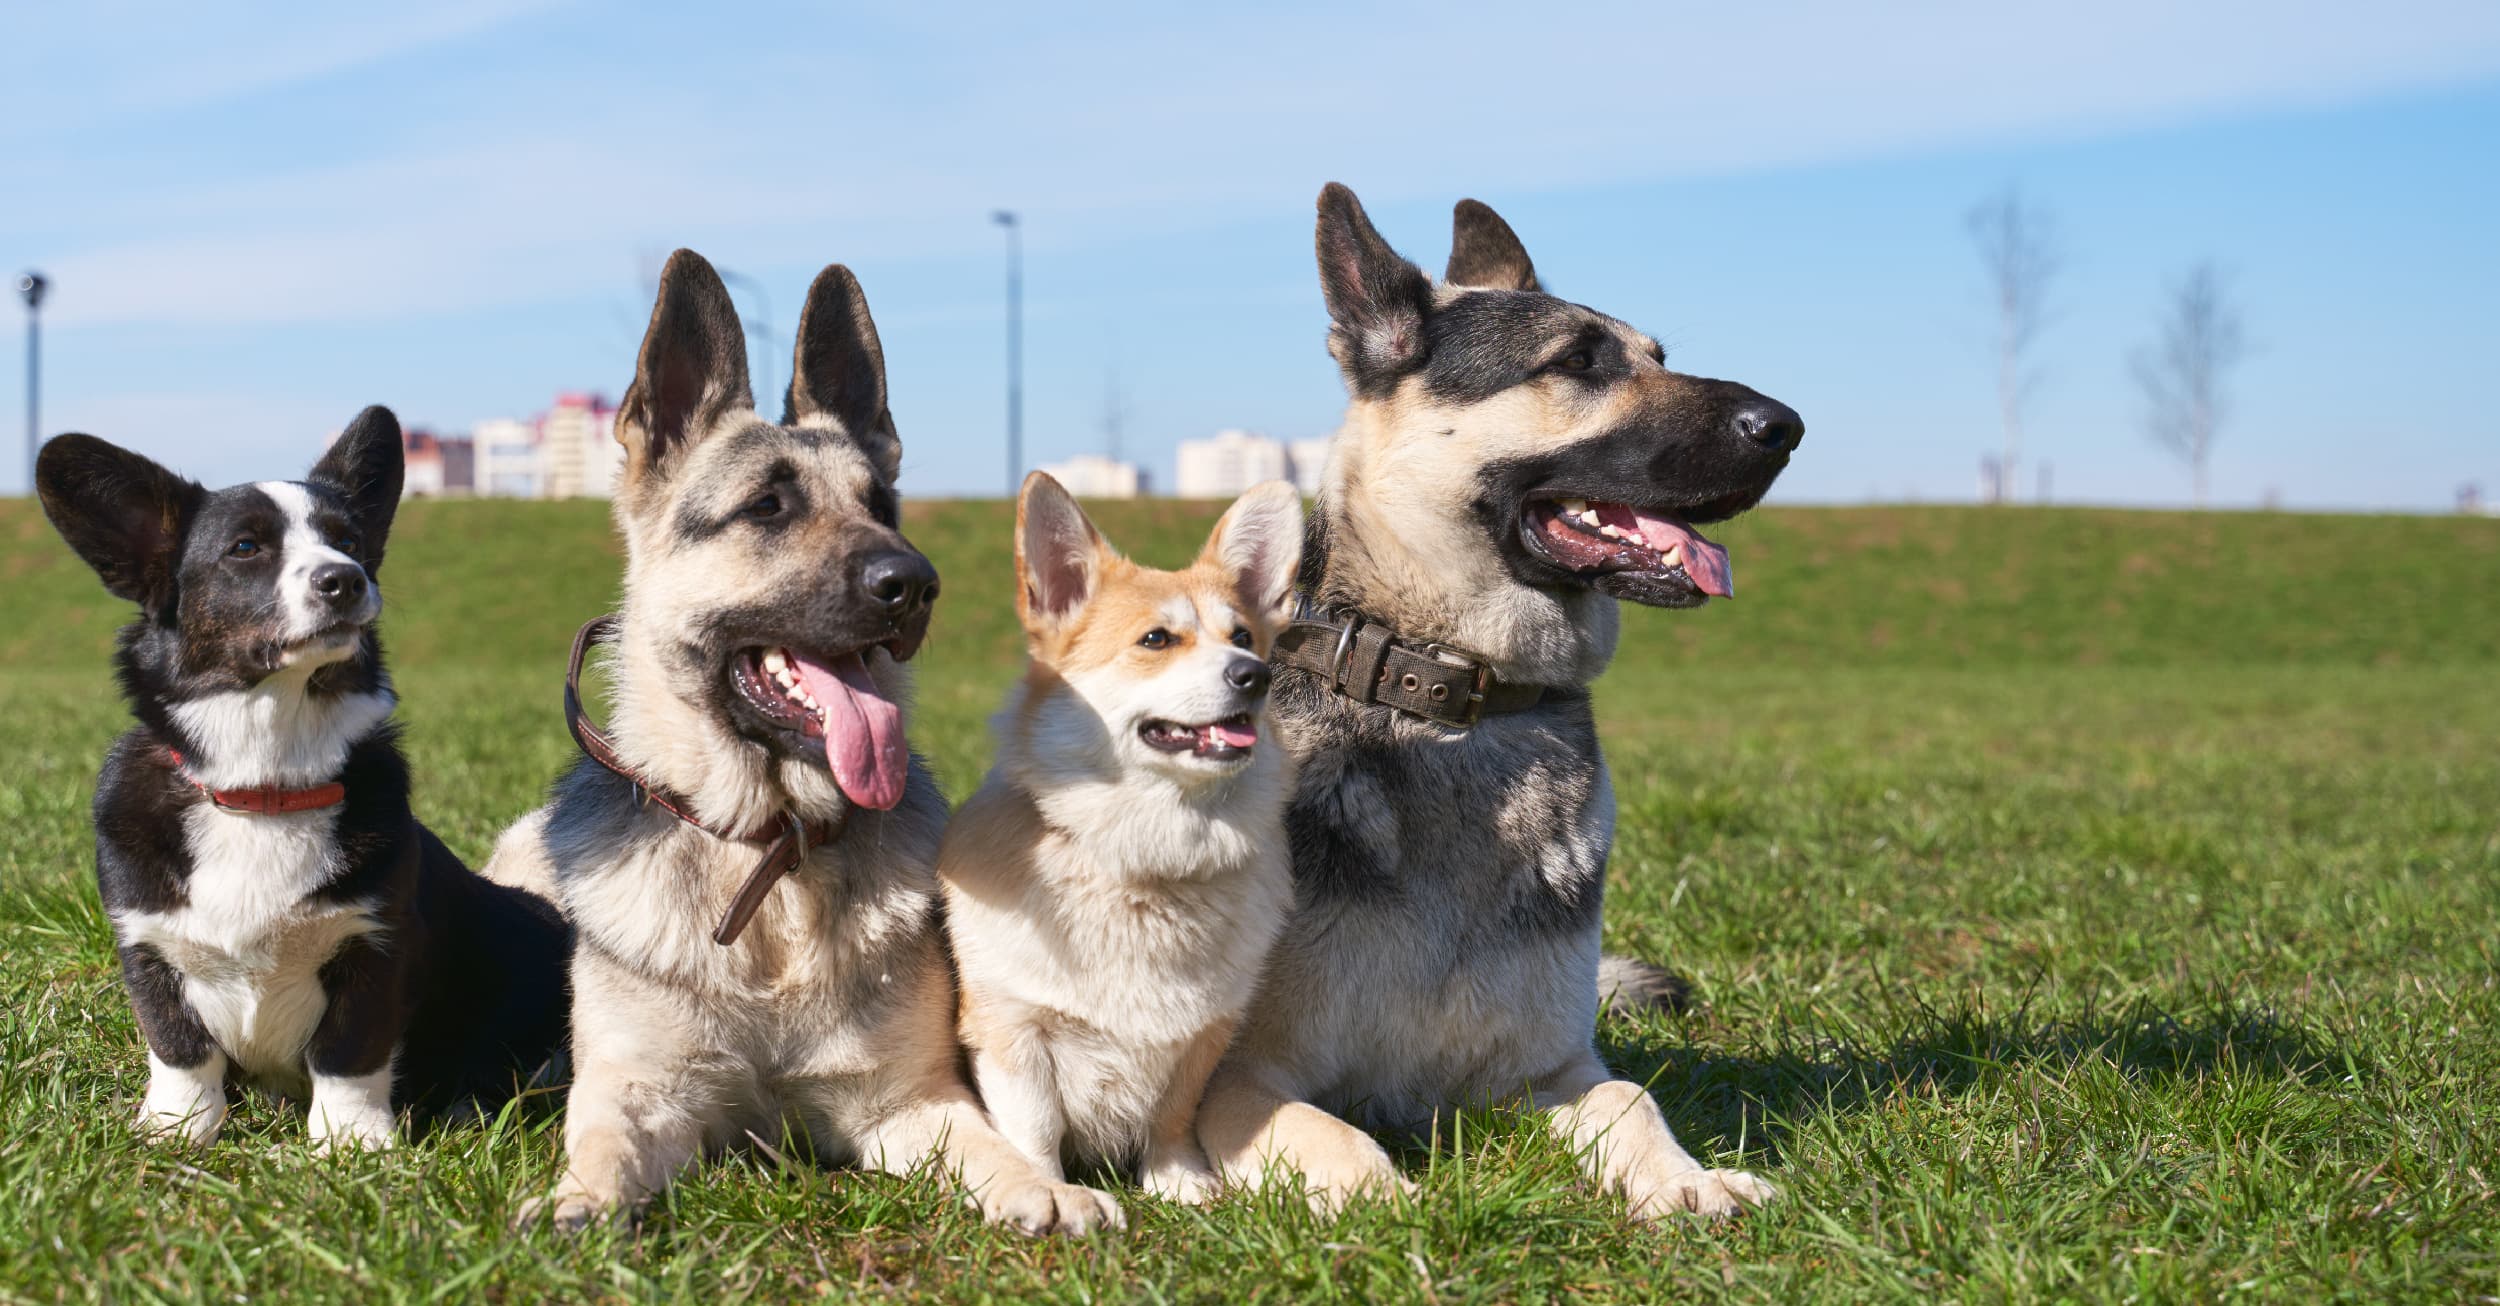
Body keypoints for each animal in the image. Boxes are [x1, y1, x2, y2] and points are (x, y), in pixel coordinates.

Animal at [487, 246, 1115, 1230]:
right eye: (768, 507)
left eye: (883, 504)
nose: (915, 583)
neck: (769, 852)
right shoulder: (638, 1092)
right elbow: (603, 1146)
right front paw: (577, 1203)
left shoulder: (912, 1102)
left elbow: (991, 1147)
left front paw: (1043, 1188)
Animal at [1190, 185, 1800, 1220]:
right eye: (1578, 361)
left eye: (1657, 357)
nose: (1789, 425)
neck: (1455, 694)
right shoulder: (1235, 1084)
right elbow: (1341, 1140)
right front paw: (1396, 1207)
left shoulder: (1551, 1071)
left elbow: (1634, 1100)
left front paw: (1684, 1183)